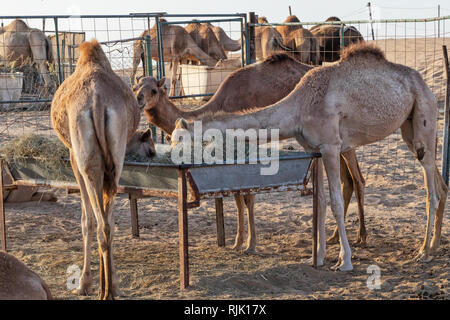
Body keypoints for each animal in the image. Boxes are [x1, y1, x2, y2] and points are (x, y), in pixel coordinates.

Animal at [50, 40, 141, 300]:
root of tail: (98, 100)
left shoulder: (73, 157)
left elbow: (86, 220)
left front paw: (84, 283)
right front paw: (113, 282)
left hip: (86, 161)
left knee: (99, 224)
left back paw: (101, 290)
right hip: (117, 159)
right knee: (108, 223)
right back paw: (110, 288)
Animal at [134, 53, 370, 251]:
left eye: (153, 90)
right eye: (136, 86)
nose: (139, 100)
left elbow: (248, 195)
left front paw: (249, 244)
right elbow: (237, 194)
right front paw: (238, 241)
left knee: (358, 179)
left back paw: (361, 236)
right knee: (347, 181)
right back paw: (334, 237)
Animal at [171, 42, 446, 272]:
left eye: (178, 140)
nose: (172, 162)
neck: (299, 108)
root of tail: (425, 85)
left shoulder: (331, 146)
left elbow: (335, 202)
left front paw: (344, 261)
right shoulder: (314, 150)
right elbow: (320, 202)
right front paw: (318, 257)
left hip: (424, 116)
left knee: (430, 188)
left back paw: (424, 252)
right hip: (409, 128)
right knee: (439, 183)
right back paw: (433, 246)